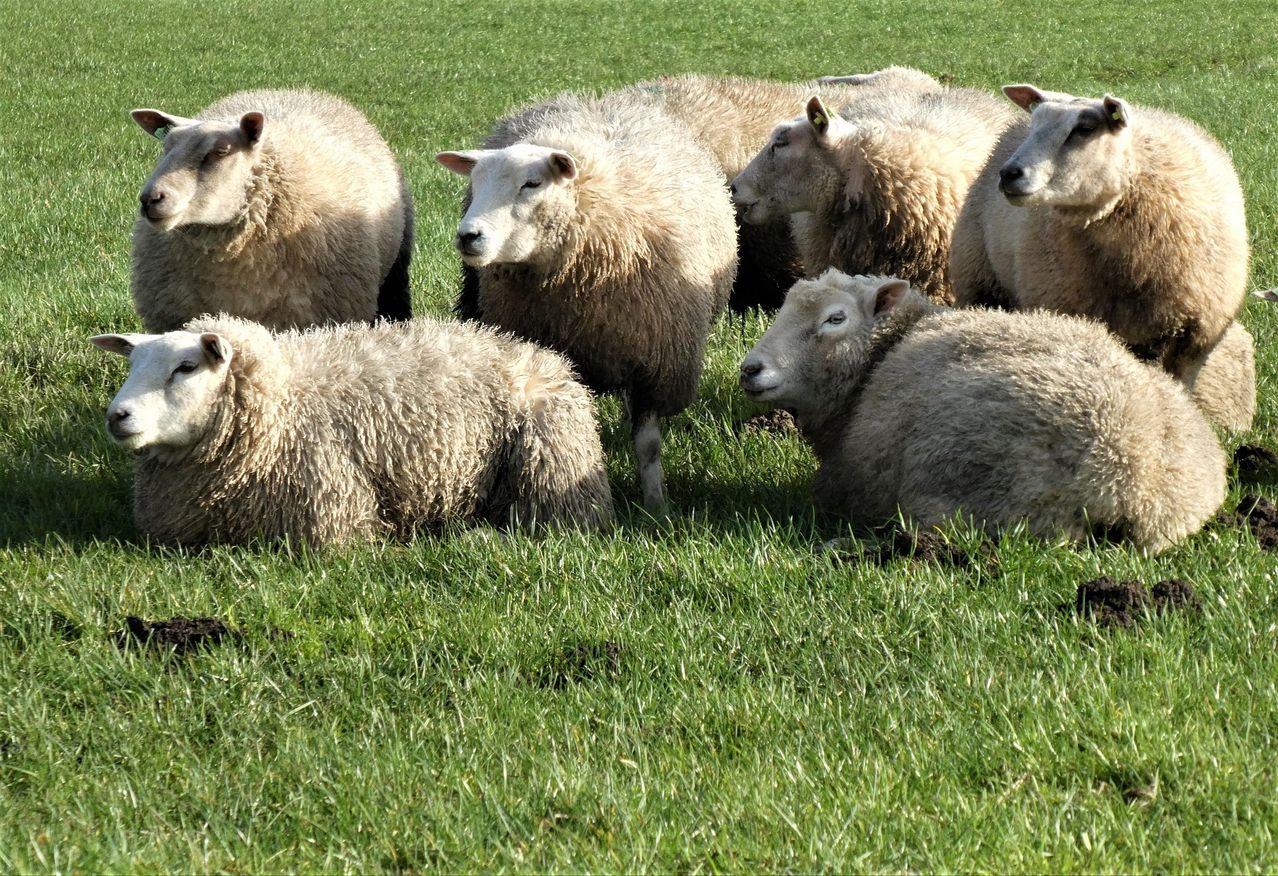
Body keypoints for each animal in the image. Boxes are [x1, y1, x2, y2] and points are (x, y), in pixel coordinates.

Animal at [90, 315, 613, 546]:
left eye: (186, 367)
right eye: (133, 364)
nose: (118, 416)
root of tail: (535, 351)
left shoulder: (331, 514)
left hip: (552, 470)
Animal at [436, 91, 739, 510]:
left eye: (532, 183)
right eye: (476, 182)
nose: (468, 236)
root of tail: (591, 99)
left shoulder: (656, 362)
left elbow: (648, 447)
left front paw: (655, 505)